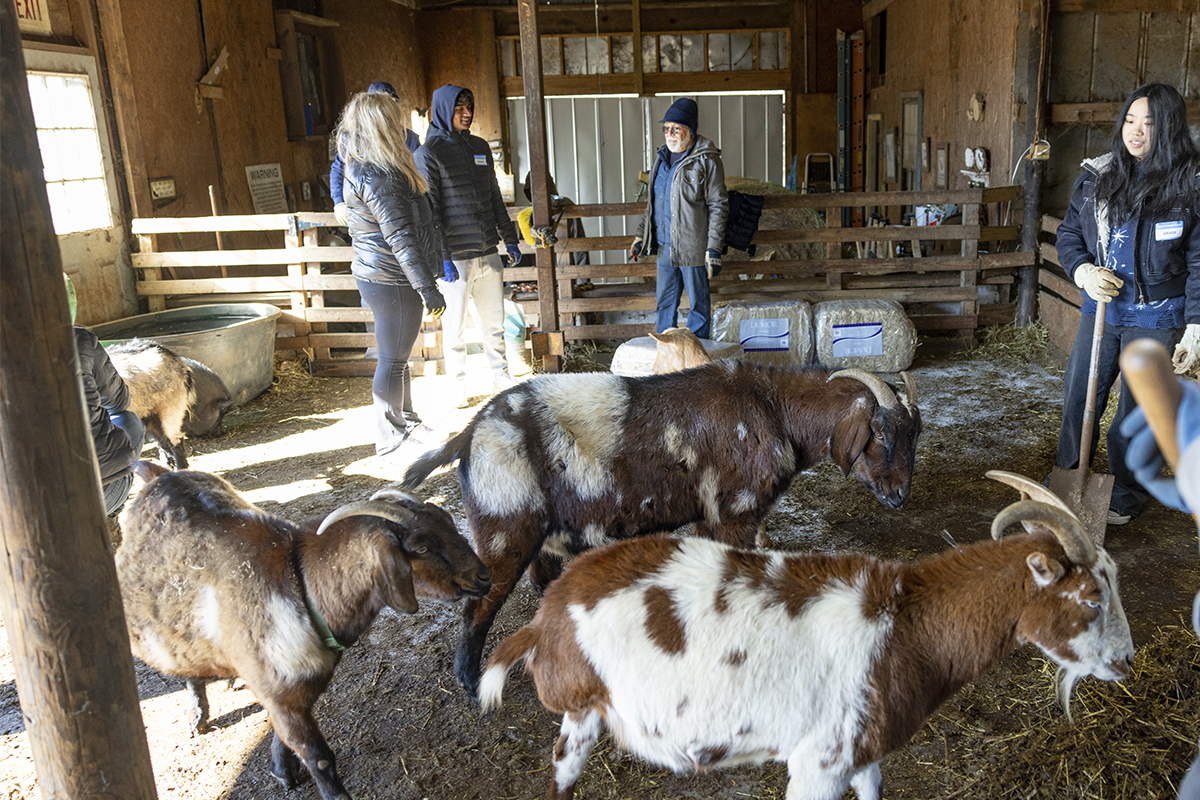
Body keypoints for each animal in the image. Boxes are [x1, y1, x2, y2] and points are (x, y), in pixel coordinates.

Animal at [119, 462, 494, 800]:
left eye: (448, 522)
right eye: (420, 547)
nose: (484, 576)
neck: (299, 583)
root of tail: (155, 473)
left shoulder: (294, 694)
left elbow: (280, 735)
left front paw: (281, 769)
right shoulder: (280, 694)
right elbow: (320, 759)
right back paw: (197, 715)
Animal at [400, 362, 916, 700]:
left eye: (915, 434)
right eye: (880, 433)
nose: (899, 496)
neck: (774, 409)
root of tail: (468, 433)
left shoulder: (710, 517)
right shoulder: (737, 514)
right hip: (505, 528)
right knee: (479, 604)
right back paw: (471, 684)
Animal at [480, 479, 1132, 796]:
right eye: (1092, 598)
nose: (1127, 660)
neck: (908, 626)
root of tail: (545, 617)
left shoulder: (864, 752)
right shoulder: (819, 760)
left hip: (582, 717)